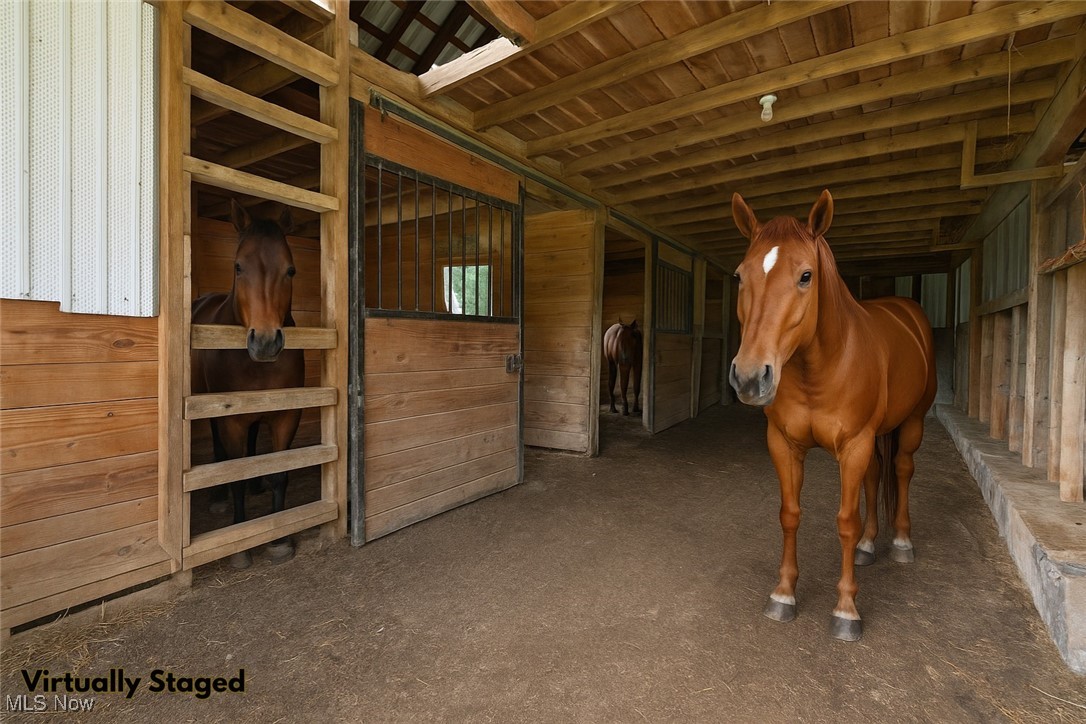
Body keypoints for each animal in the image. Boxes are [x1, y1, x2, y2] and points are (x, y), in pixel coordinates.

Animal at [191, 200, 305, 569]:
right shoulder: (232, 419)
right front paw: (241, 547)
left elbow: (281, 472)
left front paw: (279, 540)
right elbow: (235, 474)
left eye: (290, 270)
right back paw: (217, 496)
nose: (266, 342)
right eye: (238, 267)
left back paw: (257, 484)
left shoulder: (286, 415)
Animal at [728, 189, 936, 641]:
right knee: (876, 477)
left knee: (902, 469)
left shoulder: (854, 446)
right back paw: (868, 547)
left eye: (806, 276)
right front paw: (784, 593)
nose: (750, 377)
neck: (820, 368)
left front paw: (846, 610)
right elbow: (790, 515)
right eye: (739, 276)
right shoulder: (784, 444)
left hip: (912, 423)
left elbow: (845, 521)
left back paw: (901, 543)